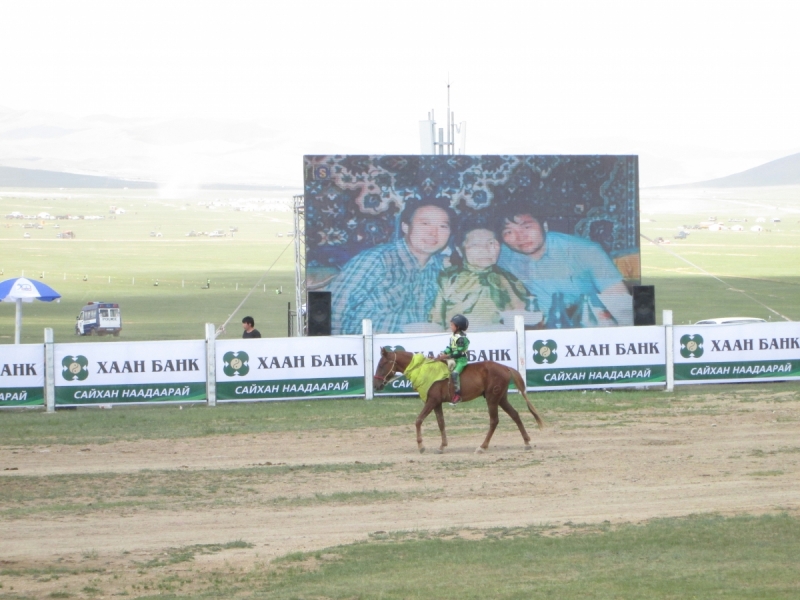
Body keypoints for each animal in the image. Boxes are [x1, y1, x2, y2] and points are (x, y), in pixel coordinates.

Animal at [376, 346, 544, 454]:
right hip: (501, 398)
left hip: (492, 399)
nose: (376, 384)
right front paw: (442, 446)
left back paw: (482, 447)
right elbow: (441, 423)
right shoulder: (437, 403)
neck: (424, 370)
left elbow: (418, 420)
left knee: (494, 421)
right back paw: (526, 442)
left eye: (382, 364)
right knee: (515, 415)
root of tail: (505, 368)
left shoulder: (431, 401)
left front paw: (421, 446)